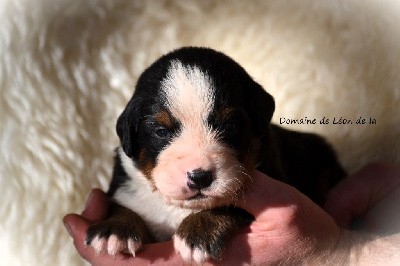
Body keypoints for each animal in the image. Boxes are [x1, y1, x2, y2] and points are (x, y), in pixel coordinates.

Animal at [86, 46, 346, 262]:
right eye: (161, 131)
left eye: (230, 126)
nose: (199, 177)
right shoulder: (126, 184)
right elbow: (121, 203)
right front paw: (115, 230)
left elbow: (227, 202)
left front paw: (199, 231)